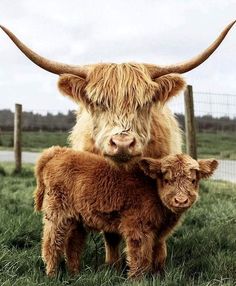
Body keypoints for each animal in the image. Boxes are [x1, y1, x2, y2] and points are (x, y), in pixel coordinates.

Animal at [0, 20, 235, 268]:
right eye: (98, 102)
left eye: (144, 103)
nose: (122, 143)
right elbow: (112, 234)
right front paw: (112, 264)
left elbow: (160, 237)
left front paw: (159, 264)